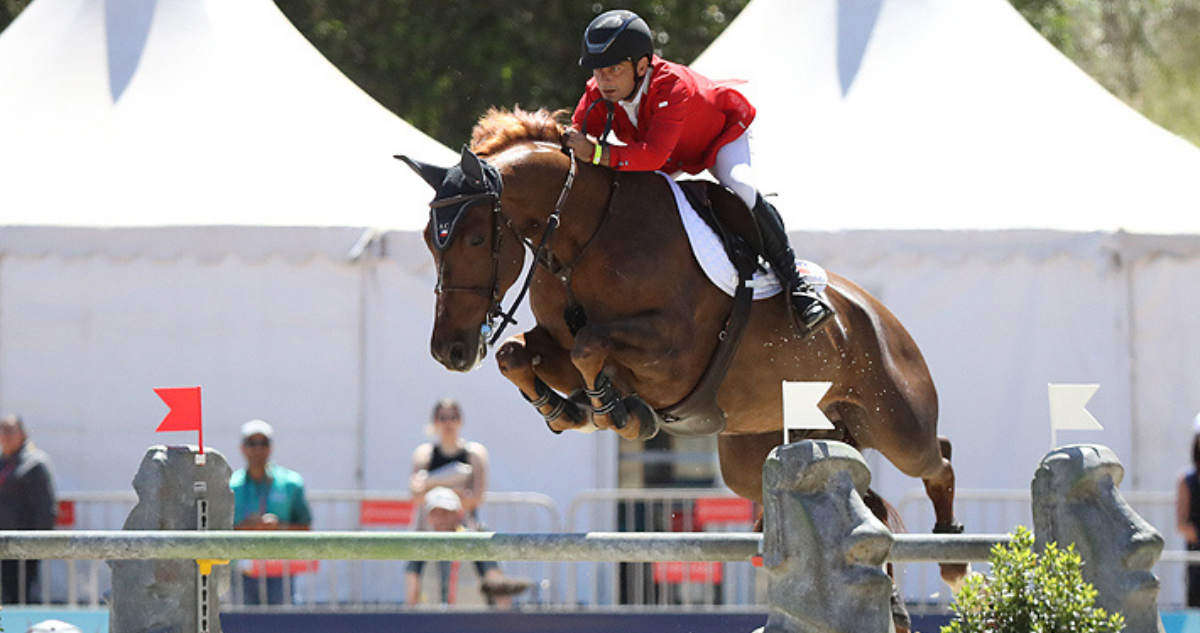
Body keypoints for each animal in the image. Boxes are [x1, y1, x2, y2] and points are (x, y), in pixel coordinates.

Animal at [398, 107, 965, 589]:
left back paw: (954, 556)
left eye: (474, 239)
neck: (586, 237)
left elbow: (591, 346)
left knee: (938, 456)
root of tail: (876, 313)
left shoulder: (675, 355)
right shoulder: (555, 340)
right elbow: (517, 353)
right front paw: (568, 409)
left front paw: (616, 412)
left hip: (894, 421)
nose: (449, 351)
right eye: (429, 240)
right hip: (760, 453)